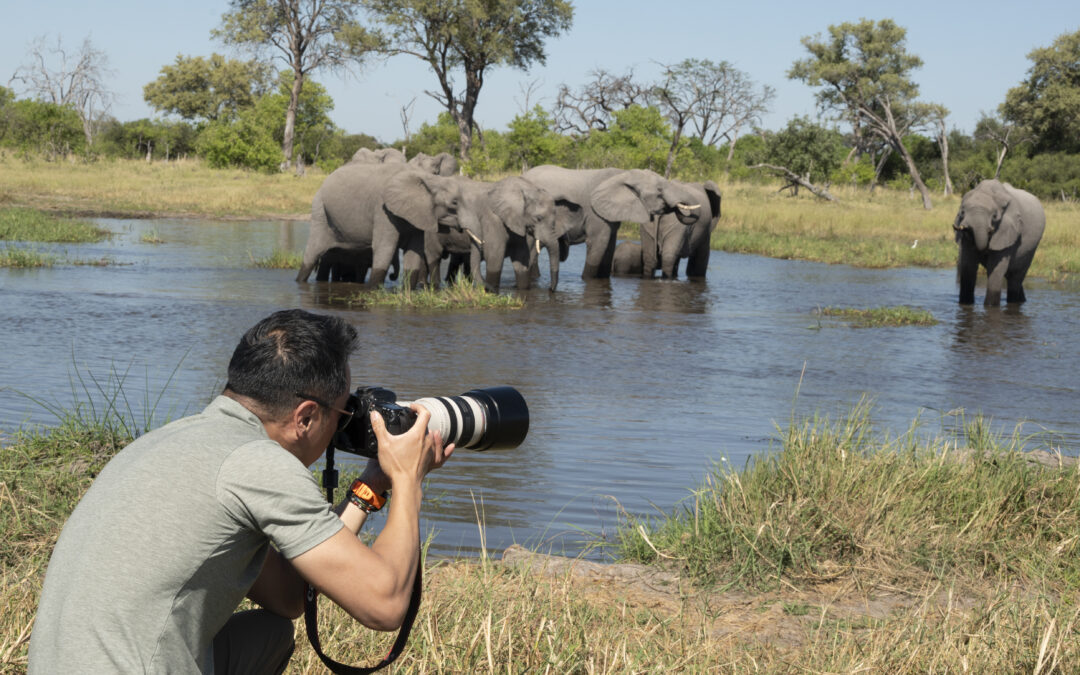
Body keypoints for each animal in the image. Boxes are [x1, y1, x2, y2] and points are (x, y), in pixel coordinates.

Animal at [295, 166, 464, 289]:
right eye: (454, 203)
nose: (392, 277)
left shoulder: (418, 216)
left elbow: (414, 251)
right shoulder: (383, 210)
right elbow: (385, 248)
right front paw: (374, 289)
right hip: (319, 210)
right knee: (313, 252)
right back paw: (300, 282)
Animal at [429, 174, 565, 291]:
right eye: (539, 218)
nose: (550, 289)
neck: (523, 189)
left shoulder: (518, 222)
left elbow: (521, 260)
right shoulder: (492, 220)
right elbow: (495, 259)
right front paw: (493, 290)